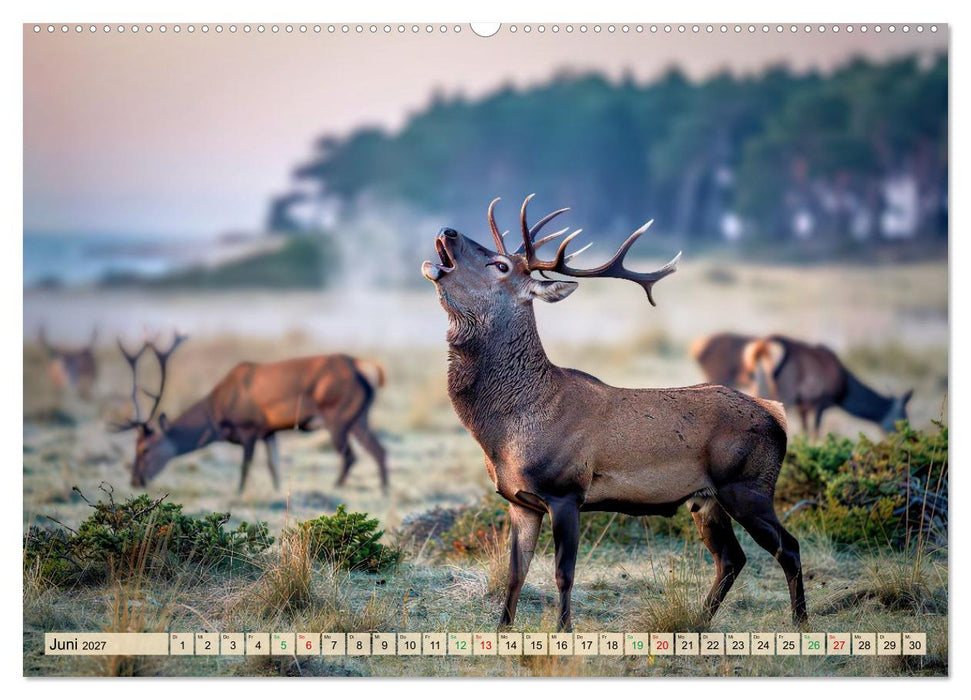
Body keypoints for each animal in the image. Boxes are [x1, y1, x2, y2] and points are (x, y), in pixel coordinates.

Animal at [113, 332, 389, 493]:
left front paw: (239, 494)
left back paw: (337, 487)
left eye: (144, 449)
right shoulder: (269, 432)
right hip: (359, 415)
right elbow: (273, 467)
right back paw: (384, 490)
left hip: (337, 415)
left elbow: (245, 468)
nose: (134, 480)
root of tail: (363, 367)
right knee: (379, 450)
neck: (218, 414)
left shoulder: (249, 428)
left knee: (350, 455)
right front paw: (277, 492)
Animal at [422, 195, 806, 631]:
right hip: (706, 499)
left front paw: (564, 630)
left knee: (788, 547)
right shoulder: (519, 500)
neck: (508, 429)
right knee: (731, 557)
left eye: (501, 265)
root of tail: (776, 414)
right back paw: (700, 619)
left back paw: (800, 621)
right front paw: (502, 630)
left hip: (749, 486)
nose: (449, 231)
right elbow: (515, 572)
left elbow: (563, 573)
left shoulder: (566, 490)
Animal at [739, 335, 912, 440]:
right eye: (903, 416)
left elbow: (805, 433)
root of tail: (762, 347)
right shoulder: (820, 403)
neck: (844, 386)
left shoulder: (803, 407)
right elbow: (815, 434)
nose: (907, 437)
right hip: (783, 396)